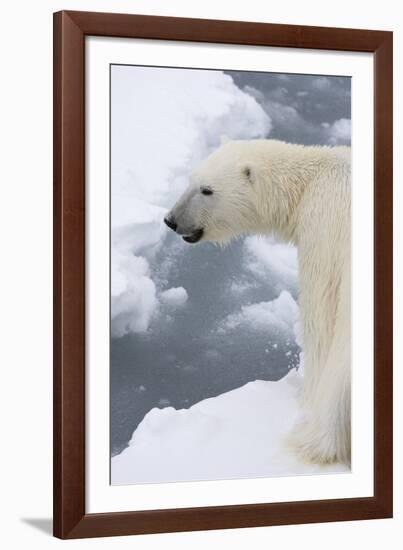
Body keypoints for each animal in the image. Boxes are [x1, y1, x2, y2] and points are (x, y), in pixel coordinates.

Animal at [164, 139, 350, 466]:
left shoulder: (324, 229)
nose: (171, 220)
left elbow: (320, 323)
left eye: (207, 189)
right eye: (190, 180)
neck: (310, 180)